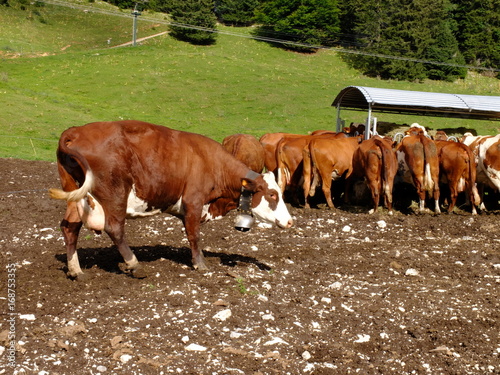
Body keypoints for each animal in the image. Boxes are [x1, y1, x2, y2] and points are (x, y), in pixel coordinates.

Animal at [48, 122, 292, 280]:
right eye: (272, 194)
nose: (290, 222)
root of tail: (75, 132)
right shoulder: (194, 201)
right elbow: (194, 235)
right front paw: (200, 264)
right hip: (115, 195)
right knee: (114, 228)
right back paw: (133, 264)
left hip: (75, 194)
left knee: (70, 227)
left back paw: (76, 270)